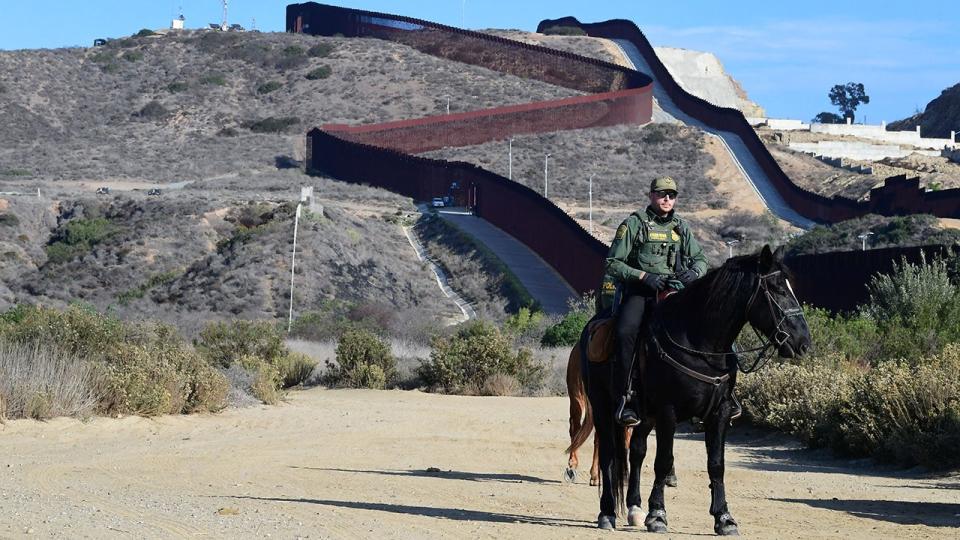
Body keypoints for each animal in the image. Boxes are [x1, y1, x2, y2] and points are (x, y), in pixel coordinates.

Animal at [584, 247, 808, 532]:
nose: (804, 342)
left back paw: (634, 508)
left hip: (645, 416)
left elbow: (716, 464)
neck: (699, 341)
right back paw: (607, 513)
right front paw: (658, 515)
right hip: (602, 406)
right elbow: (663, 461)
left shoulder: (720, 412)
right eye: (776, 289)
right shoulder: (668, 411)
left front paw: (724, 517)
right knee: (609, 455)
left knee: (636, 451)